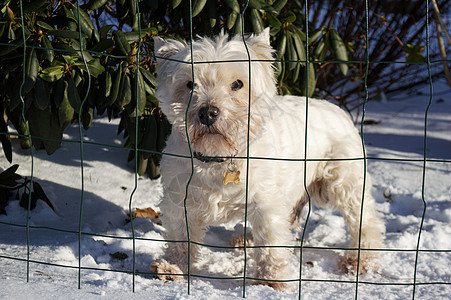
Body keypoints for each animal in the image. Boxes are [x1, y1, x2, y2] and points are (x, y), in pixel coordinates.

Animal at [151, 28, 384, 290]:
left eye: (238, 84)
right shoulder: (179, 200)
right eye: (190, 84)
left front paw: (269, 281)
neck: (218, 157)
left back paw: (360, 261)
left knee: (365, 221)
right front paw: (173, 267)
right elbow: (181, 238)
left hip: (344, 183)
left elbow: (271, 243)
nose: (208, 113)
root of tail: (339, 110)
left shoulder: (265, 203)